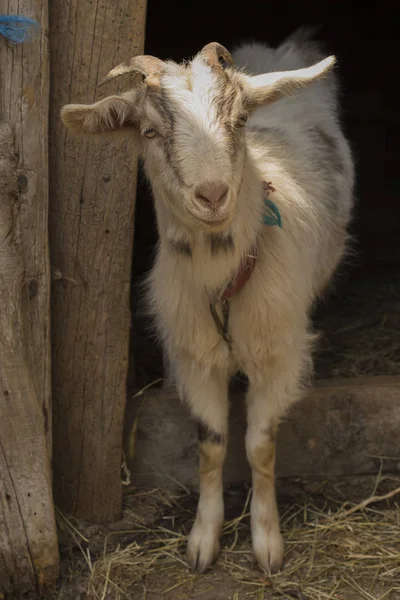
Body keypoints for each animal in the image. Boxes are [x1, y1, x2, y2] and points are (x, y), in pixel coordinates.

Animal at [61, 27, 354, 572]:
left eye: (240, 121)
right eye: (149, 132)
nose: (213, 195)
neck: (224, 275)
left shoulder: (276, 355)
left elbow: (259, 446)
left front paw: (267, 543)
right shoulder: (195, 356)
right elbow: (212, 446)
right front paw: (203, 540)